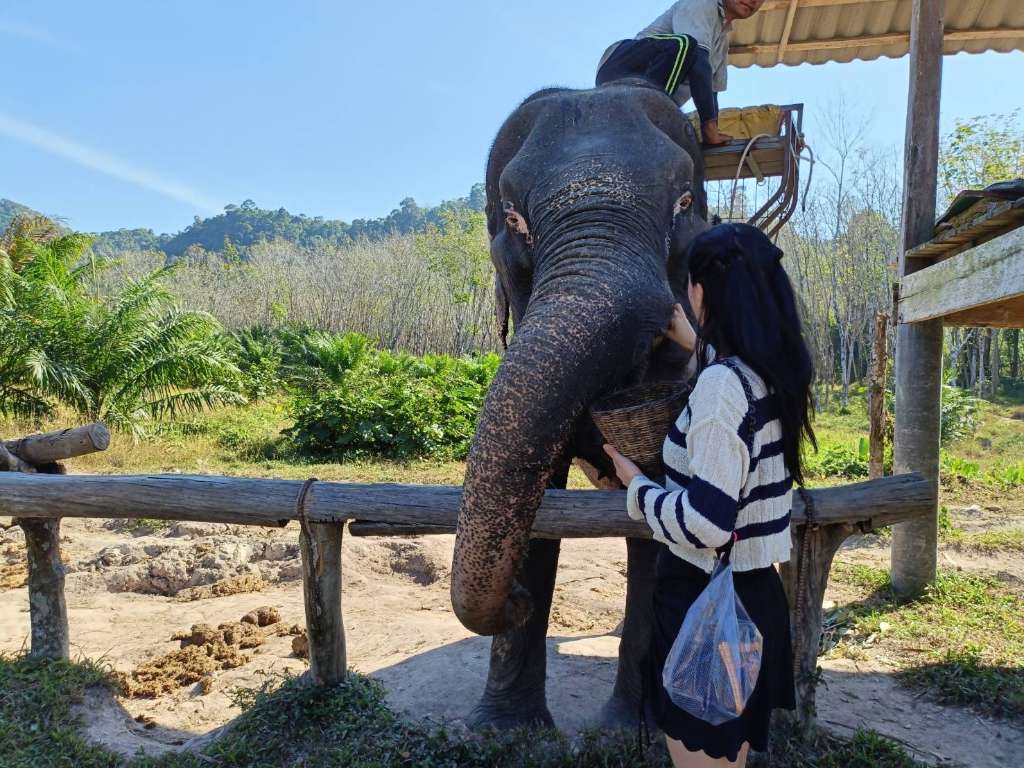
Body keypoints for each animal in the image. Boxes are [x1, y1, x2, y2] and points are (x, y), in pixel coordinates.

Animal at [450, 78, 710, 730]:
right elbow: (541, 500)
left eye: (684, 204)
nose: (513, 601)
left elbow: (661, 511)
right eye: (513, 218)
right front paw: (501, 731)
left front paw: (628, 732)